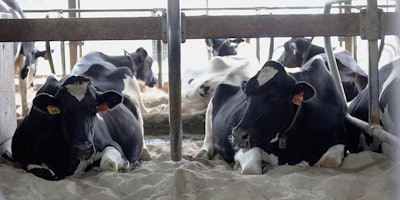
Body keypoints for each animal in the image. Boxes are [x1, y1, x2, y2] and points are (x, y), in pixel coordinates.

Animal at [12, 50, 152, 181]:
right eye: (64, 110)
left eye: (95, 108)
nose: (83, 148)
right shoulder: (26, 159)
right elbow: (46, 173)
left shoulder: (113, 146)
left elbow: (109, 163)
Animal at [198, 57, 346, 174]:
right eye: (246, 95)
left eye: (275, 96)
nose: (238, 135)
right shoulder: (244, 148)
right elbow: (252, 167)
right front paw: (240, 166)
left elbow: (329, 160)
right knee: (208, 143)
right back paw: (202, 154)